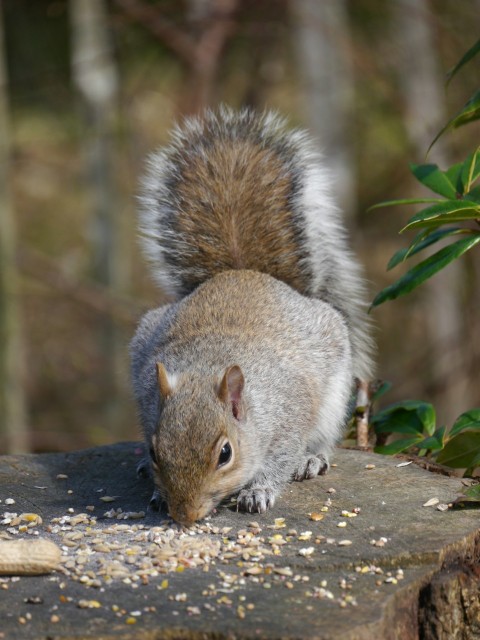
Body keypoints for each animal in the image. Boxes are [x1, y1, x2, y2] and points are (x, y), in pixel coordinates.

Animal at [131, 106, 376, 524]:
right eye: (154, 450)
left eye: (225, 454)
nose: (186, 515)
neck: (207, 366)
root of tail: (244, 271)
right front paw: (157, 491)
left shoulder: (289, 413)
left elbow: (280, 459)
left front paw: (258, 491)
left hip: (334, 392)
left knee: (323, 437)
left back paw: (313, 459)